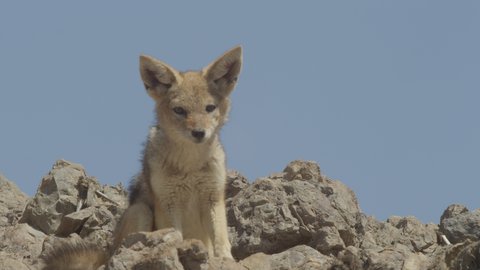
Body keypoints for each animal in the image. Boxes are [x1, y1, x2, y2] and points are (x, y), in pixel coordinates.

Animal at [43, 45, 242, 268]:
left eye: (209, 108)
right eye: (179, 110)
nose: (199, 133)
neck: (189, 165)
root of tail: (108, 251)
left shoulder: (213, 198)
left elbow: (221, 237)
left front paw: (226, 259)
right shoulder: (168, 203)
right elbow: (176, 235)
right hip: (141, 211)